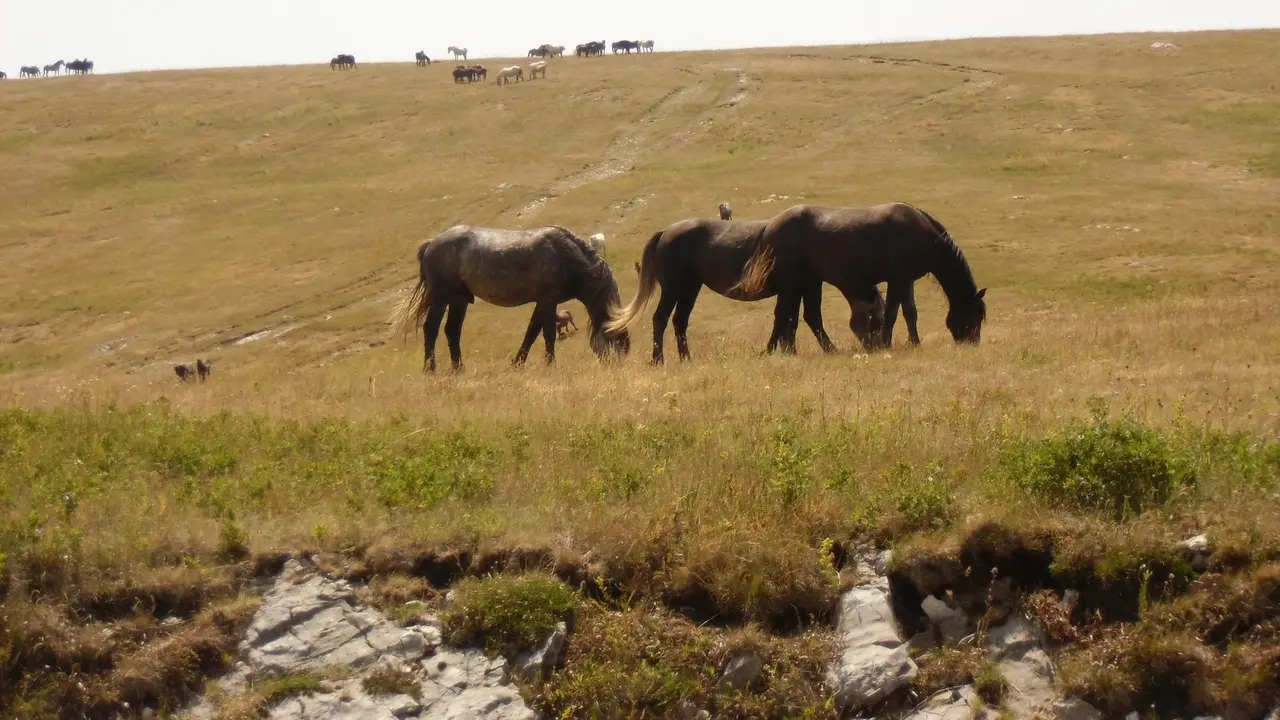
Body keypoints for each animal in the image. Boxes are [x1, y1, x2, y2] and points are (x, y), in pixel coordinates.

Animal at [394, 225, 631, 372]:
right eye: (617, 343)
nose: (618, 367)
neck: (567, 256)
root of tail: (431, 243)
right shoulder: (548, 301)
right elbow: (547, 334)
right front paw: (550, 365)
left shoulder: (542, 303)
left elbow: (531, 333)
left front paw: (517, 363)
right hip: (441, 297)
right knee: (431, 328)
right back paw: (430, 369)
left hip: (459, 299)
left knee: (452, 330)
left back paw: (458, 368)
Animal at [605, 218, 884, 363]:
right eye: (875, 316)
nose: (878, 346)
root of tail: (666, 232)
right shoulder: (794, 288)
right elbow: (793, 318)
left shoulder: (804, 287)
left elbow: (795, 319)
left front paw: (784, 350)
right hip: (675, 288)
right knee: (660, 319)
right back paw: (658, 359)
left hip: (690, 289)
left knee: (679, 321)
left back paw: (686, 358)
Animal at [743, 202, 987, 349]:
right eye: (973, 315)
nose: (973, 343)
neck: (922, 234)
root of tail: (770, 226)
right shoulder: (898, 279)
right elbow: (893, 313)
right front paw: (888, 343)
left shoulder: (905, 280)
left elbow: (910, 313)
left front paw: (914, 342)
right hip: (794, 284)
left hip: (807, 282)